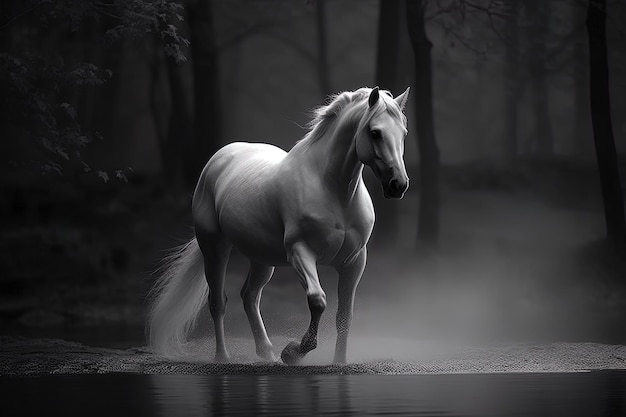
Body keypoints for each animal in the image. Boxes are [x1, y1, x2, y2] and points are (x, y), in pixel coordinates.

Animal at [146, 86, 410, 362]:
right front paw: (293, 352)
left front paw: (339, 361)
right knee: (218, 301)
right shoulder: (300, 253)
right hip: (215, 248)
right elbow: (317, 301)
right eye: (375, 132)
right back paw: (223, 357)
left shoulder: (354, 262)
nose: (398, 185)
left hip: (261, 258)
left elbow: (344, 316)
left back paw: (266, 353)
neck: (333, 191)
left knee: (249, 297)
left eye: (403, 132)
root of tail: (219, 159)